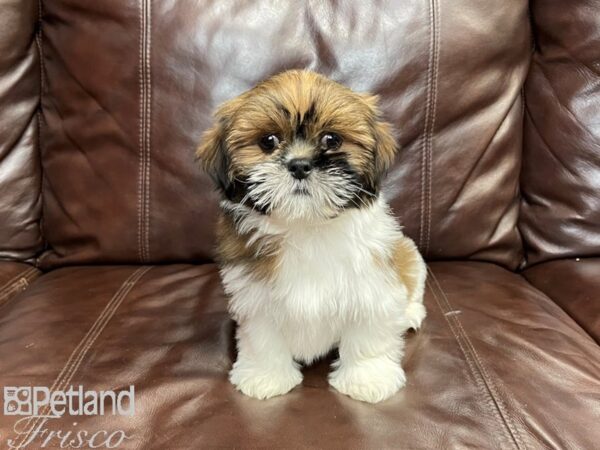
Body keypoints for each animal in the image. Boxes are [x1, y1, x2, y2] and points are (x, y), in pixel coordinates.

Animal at [197, 70, 426, 404]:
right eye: (268, 141)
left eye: (331, 139)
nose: (300, 164)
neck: (306, 225)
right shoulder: (255, 296)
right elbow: (263, 338)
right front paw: (265, 376)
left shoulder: (373, 283)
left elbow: (368, 335)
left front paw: (368, 378)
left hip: (408, 253)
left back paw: (409, 314)